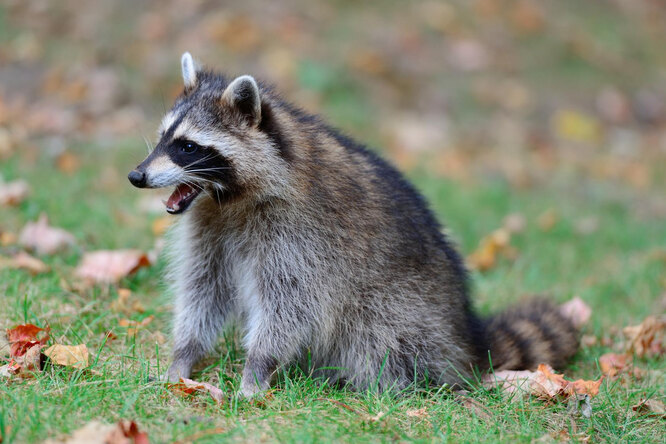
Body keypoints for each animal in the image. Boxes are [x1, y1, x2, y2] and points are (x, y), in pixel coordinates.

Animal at [128, 53, 576, 398]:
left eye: (187, 147)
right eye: (163, 137)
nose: (136, 176)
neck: (229, 199)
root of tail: (465, 340)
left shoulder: (299, 234)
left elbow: (290, 305)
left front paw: (257, 369)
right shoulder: (211, 225)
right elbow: (205, 287)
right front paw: (183, 355)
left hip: (407, 308)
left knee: (378, 334)